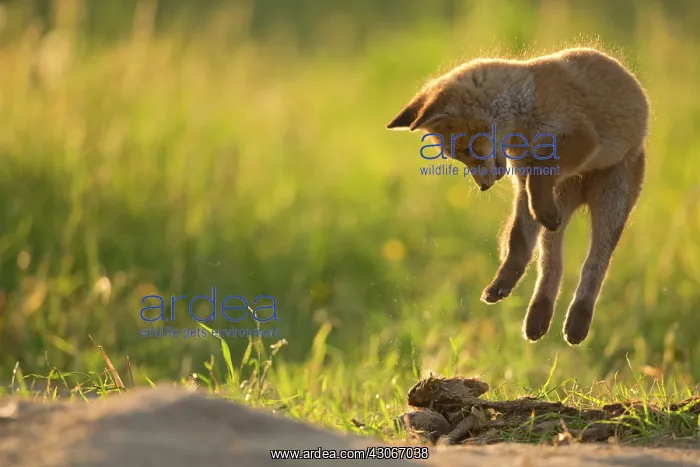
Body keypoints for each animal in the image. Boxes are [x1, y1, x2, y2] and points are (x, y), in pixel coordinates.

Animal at [386, 47, 649, 345]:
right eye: (458, 155)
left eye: (466, 149)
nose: (483, 187)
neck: (526, 108)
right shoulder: (523, 181)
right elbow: (519, 240)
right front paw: (502, 284)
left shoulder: (581, 138)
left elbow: (541, 173)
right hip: (560, 212)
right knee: (551, 266)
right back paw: (538, 317)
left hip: (611, 207)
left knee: (595, 265)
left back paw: (578, 321)